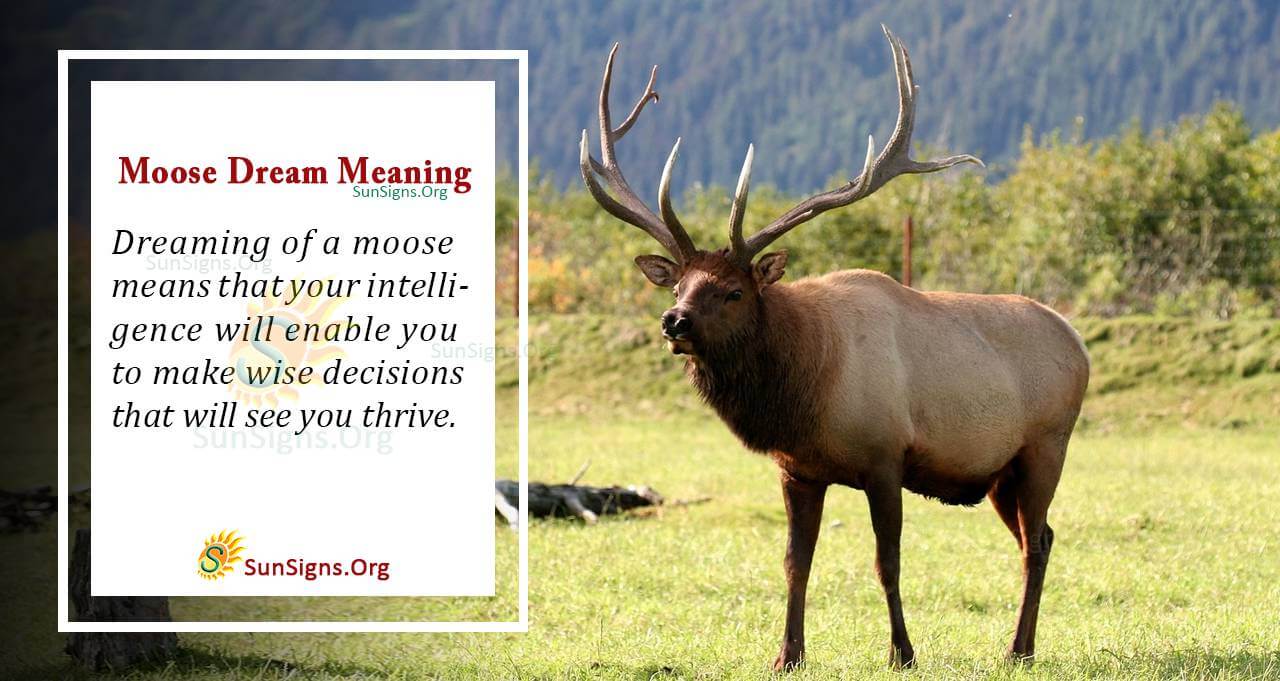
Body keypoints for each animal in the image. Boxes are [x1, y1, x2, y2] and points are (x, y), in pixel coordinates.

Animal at [578, 25, 1091, 671]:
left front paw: (902, 653)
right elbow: (795, 564)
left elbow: (886, 563)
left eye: (733, 290)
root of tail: (1078, 341)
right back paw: (1021, 645)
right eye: (678, 285)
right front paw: (787, 655)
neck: (807, 392)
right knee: (1039, 534)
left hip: (1047, 445)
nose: (674, 321)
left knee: (1036, 543)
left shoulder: (886, 458)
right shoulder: (797, 470)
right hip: (1001, 473)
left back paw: (1017, 650)